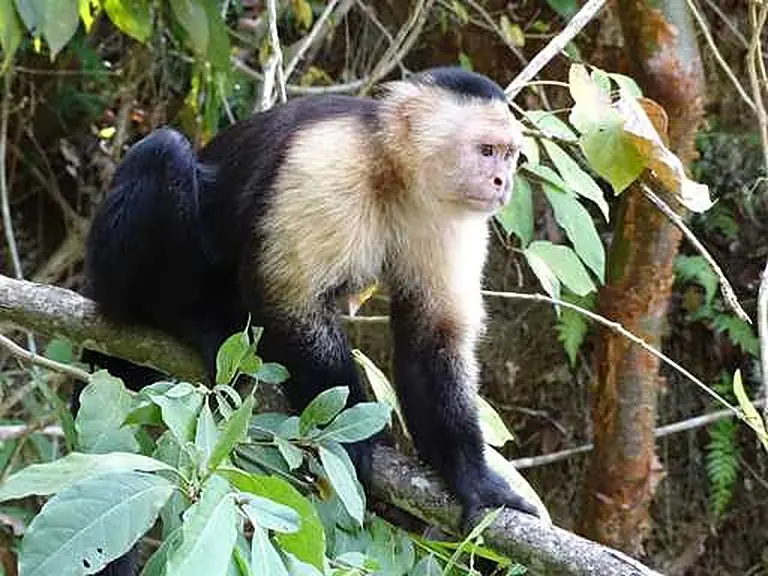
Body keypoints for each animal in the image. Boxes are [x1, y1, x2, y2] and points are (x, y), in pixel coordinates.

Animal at [81, 66, 538, 575]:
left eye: (510, 156)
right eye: (486, 150)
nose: (502, 182)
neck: (394, 174)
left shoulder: (449, 217)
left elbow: (433, 337)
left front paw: (471, 479)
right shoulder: (326, 164)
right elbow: (289, 299)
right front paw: (350, 435)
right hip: (109, 273)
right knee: (165, 152)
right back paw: (183, 319)